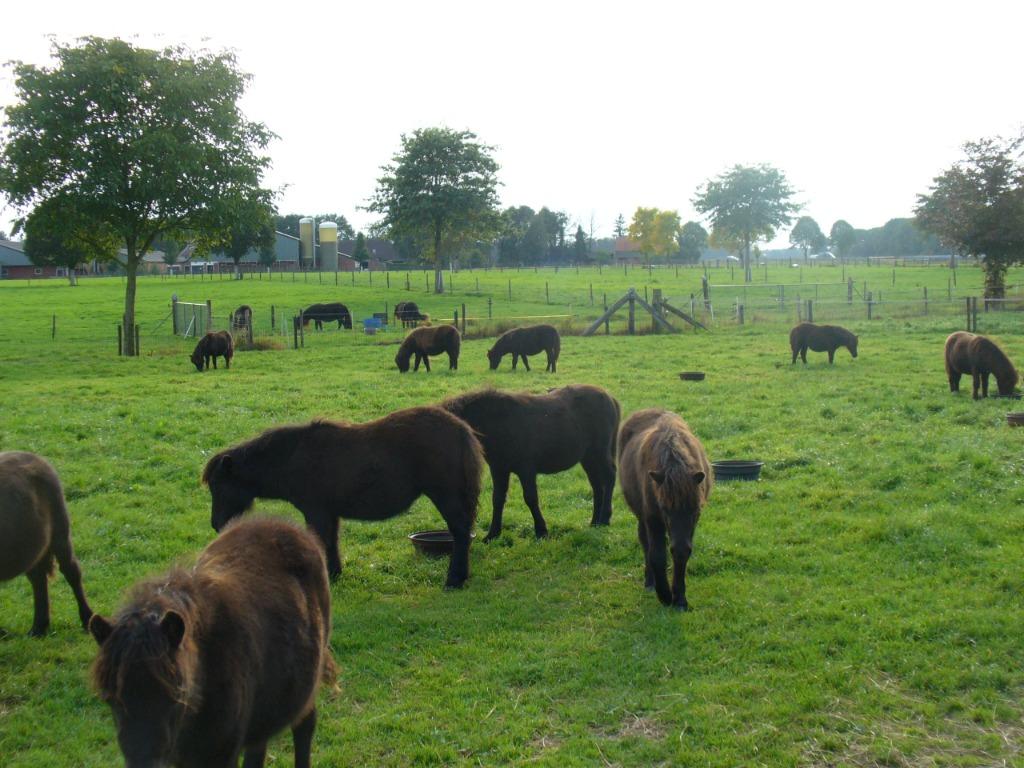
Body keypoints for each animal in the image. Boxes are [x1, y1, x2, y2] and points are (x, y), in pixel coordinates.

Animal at [0, 452, 92, 636]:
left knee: (71, 572)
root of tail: (36, 457)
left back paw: (87, 619)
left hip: (60, 532)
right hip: (33, 548)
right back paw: (38, 628)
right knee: (38, 580)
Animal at [90, 517, 334, 768]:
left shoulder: (222, 752)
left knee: (305, 725)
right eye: (110, 699)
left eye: (176, 698)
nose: (145, 762)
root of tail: (284, 525)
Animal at [203, 406, 484, 588]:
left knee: (460, 533)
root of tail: (461, 429)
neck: (292, 457)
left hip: (446, 497)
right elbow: (331, 543)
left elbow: (322, 542)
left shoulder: (316, 511)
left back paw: (455, 579)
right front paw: (335, 574)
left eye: (219, 485)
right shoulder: (329, 513)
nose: (216, 524)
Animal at [443, 385, 619, 541]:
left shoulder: (526, 469)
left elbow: (530, 498)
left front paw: (541, 531)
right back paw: (595, 522)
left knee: (610, 477)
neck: (499, 423)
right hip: (588, 457)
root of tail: (610, 397)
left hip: (599, 452)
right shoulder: (499, 469)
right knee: (597, 485)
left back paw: (605, 518)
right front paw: (492, 534)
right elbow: (497, 499)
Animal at [618, 409, 713, 610]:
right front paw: (666, 596)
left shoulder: (692, 523)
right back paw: (650, 582)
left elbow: (682, 552)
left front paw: (680, 599)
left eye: (694, 509)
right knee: (645, 544)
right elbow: (657, 555)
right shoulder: (653, 519)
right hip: (642, 517)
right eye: (665, 509)